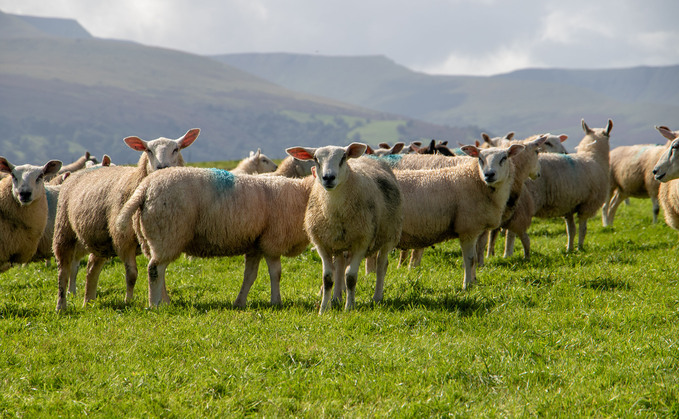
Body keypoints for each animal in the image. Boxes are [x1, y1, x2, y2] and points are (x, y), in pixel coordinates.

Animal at [53, 128, 199, 312]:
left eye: (176, 149)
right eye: (148, 150)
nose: (162, 167)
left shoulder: (154, 239)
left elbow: (158, 271)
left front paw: (164, 301)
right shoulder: (123, 239)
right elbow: (132, 274)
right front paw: (128, 301)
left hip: (102, 240)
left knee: (92, 267)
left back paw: (89, 301)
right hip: (64, 230)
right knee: (63, 270)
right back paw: (61, 306)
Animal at [115, 167, 316, 308]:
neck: (303, 193)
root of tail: (145, 187)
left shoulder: (255, 244)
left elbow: (249, 276)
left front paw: (239, 303)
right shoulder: (272, 242)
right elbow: (276, 274)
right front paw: (276, 302)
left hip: (152, 238)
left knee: (159, 270)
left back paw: (165, 301)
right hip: (168, 232)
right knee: (155, 270)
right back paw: (156, 305)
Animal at [282, 143, 402, 314]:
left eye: (343, 157)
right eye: (316, 159)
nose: (328, 177)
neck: (334, 206)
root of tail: (369, 158)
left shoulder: (361, 241)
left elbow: (351, 277)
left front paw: (349, 307)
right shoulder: (322, 244)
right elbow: (327, 278)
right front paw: (323, 309)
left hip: (389, 235)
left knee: (381, 265)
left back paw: (377, 297)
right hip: (338, 241)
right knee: (339, 266)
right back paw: (336, 298)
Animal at [394, 144, 524, 288]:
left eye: (504, 158)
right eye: (480, 158)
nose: (489, 174)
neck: (476, 180)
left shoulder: (475, 230)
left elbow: (474, 258)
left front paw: (474, 283)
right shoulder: (467, 229)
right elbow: (469, 259)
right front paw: (466, 285)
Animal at [524, 120, 612, 254]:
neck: (594, 157)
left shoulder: (568, 206)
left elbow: (571, 230)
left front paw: (569, 250)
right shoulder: (587, 205)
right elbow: (583, 229)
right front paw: (580, 248)